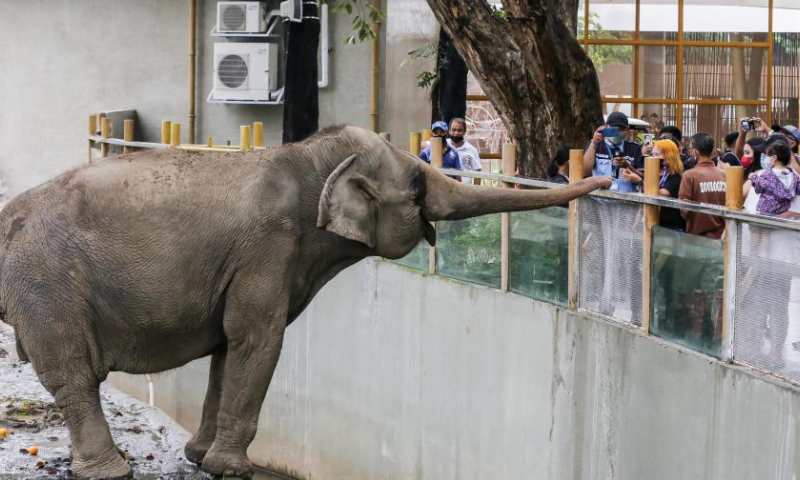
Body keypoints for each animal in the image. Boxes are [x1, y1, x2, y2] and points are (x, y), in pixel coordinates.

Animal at [0, 125, 609, 479]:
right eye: (417, 185)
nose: (602, 181)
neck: (308, 157)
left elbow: (229, 347)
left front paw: (200, 458)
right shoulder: (269, 247)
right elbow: (259, 338)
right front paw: (232, 469)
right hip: (47, 284)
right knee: (73, 374)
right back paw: (110, 472)